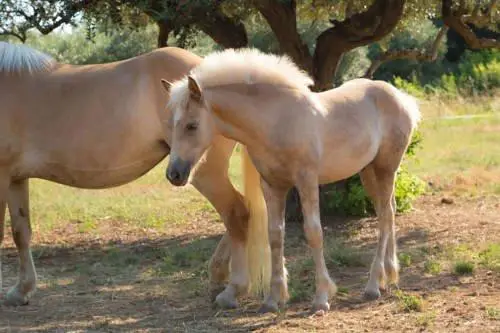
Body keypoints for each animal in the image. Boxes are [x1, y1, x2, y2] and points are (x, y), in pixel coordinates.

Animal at [0, 42, 270, 306]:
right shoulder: (15, 179)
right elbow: (21, 232)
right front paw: (22, 290)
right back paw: (217, 280)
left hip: (204, 172)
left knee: (236, 213)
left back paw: (232, 290)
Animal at [165, 48, 422, 312]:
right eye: (172, 124)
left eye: (192, 125)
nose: (174, 174)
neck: (277, 121)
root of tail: (402, 98)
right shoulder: (272, 186)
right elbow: (275, 235)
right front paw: (273, 299)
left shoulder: (306, 181)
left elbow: (314, 232)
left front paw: (321, 297)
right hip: (368, 171)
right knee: (387, 210)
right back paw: (388, 277)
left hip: (386, 168)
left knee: (385, 216)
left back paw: (372, 285)